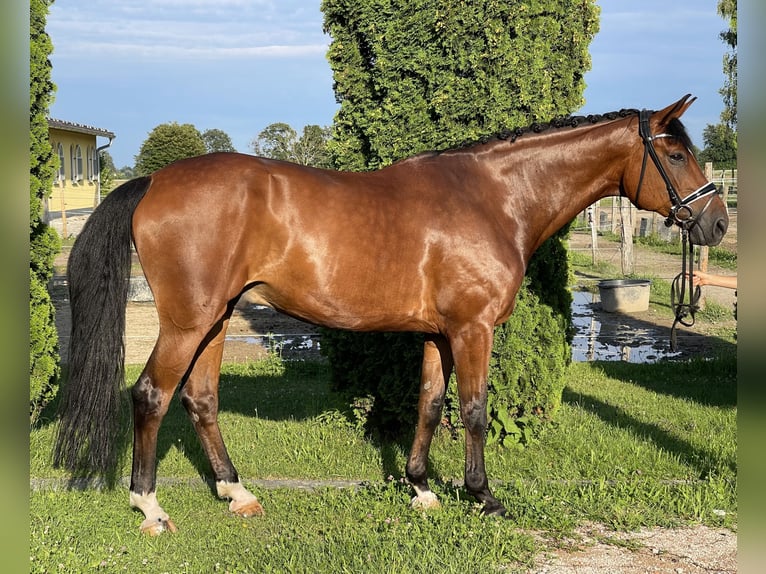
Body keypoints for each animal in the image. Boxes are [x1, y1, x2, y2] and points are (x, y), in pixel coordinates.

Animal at [55, 95, 732, 536]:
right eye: (675, 154)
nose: (717, 223)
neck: (494, 199)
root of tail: (153, 182)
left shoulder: (439, 333)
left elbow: (430, 405)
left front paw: (423, 489)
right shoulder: (472, 329)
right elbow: (474, 409)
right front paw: (484, 497)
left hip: (217, 320)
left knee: (200, 400)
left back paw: (237, 492)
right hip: (189, 322)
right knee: (150, 395)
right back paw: (150, 508)